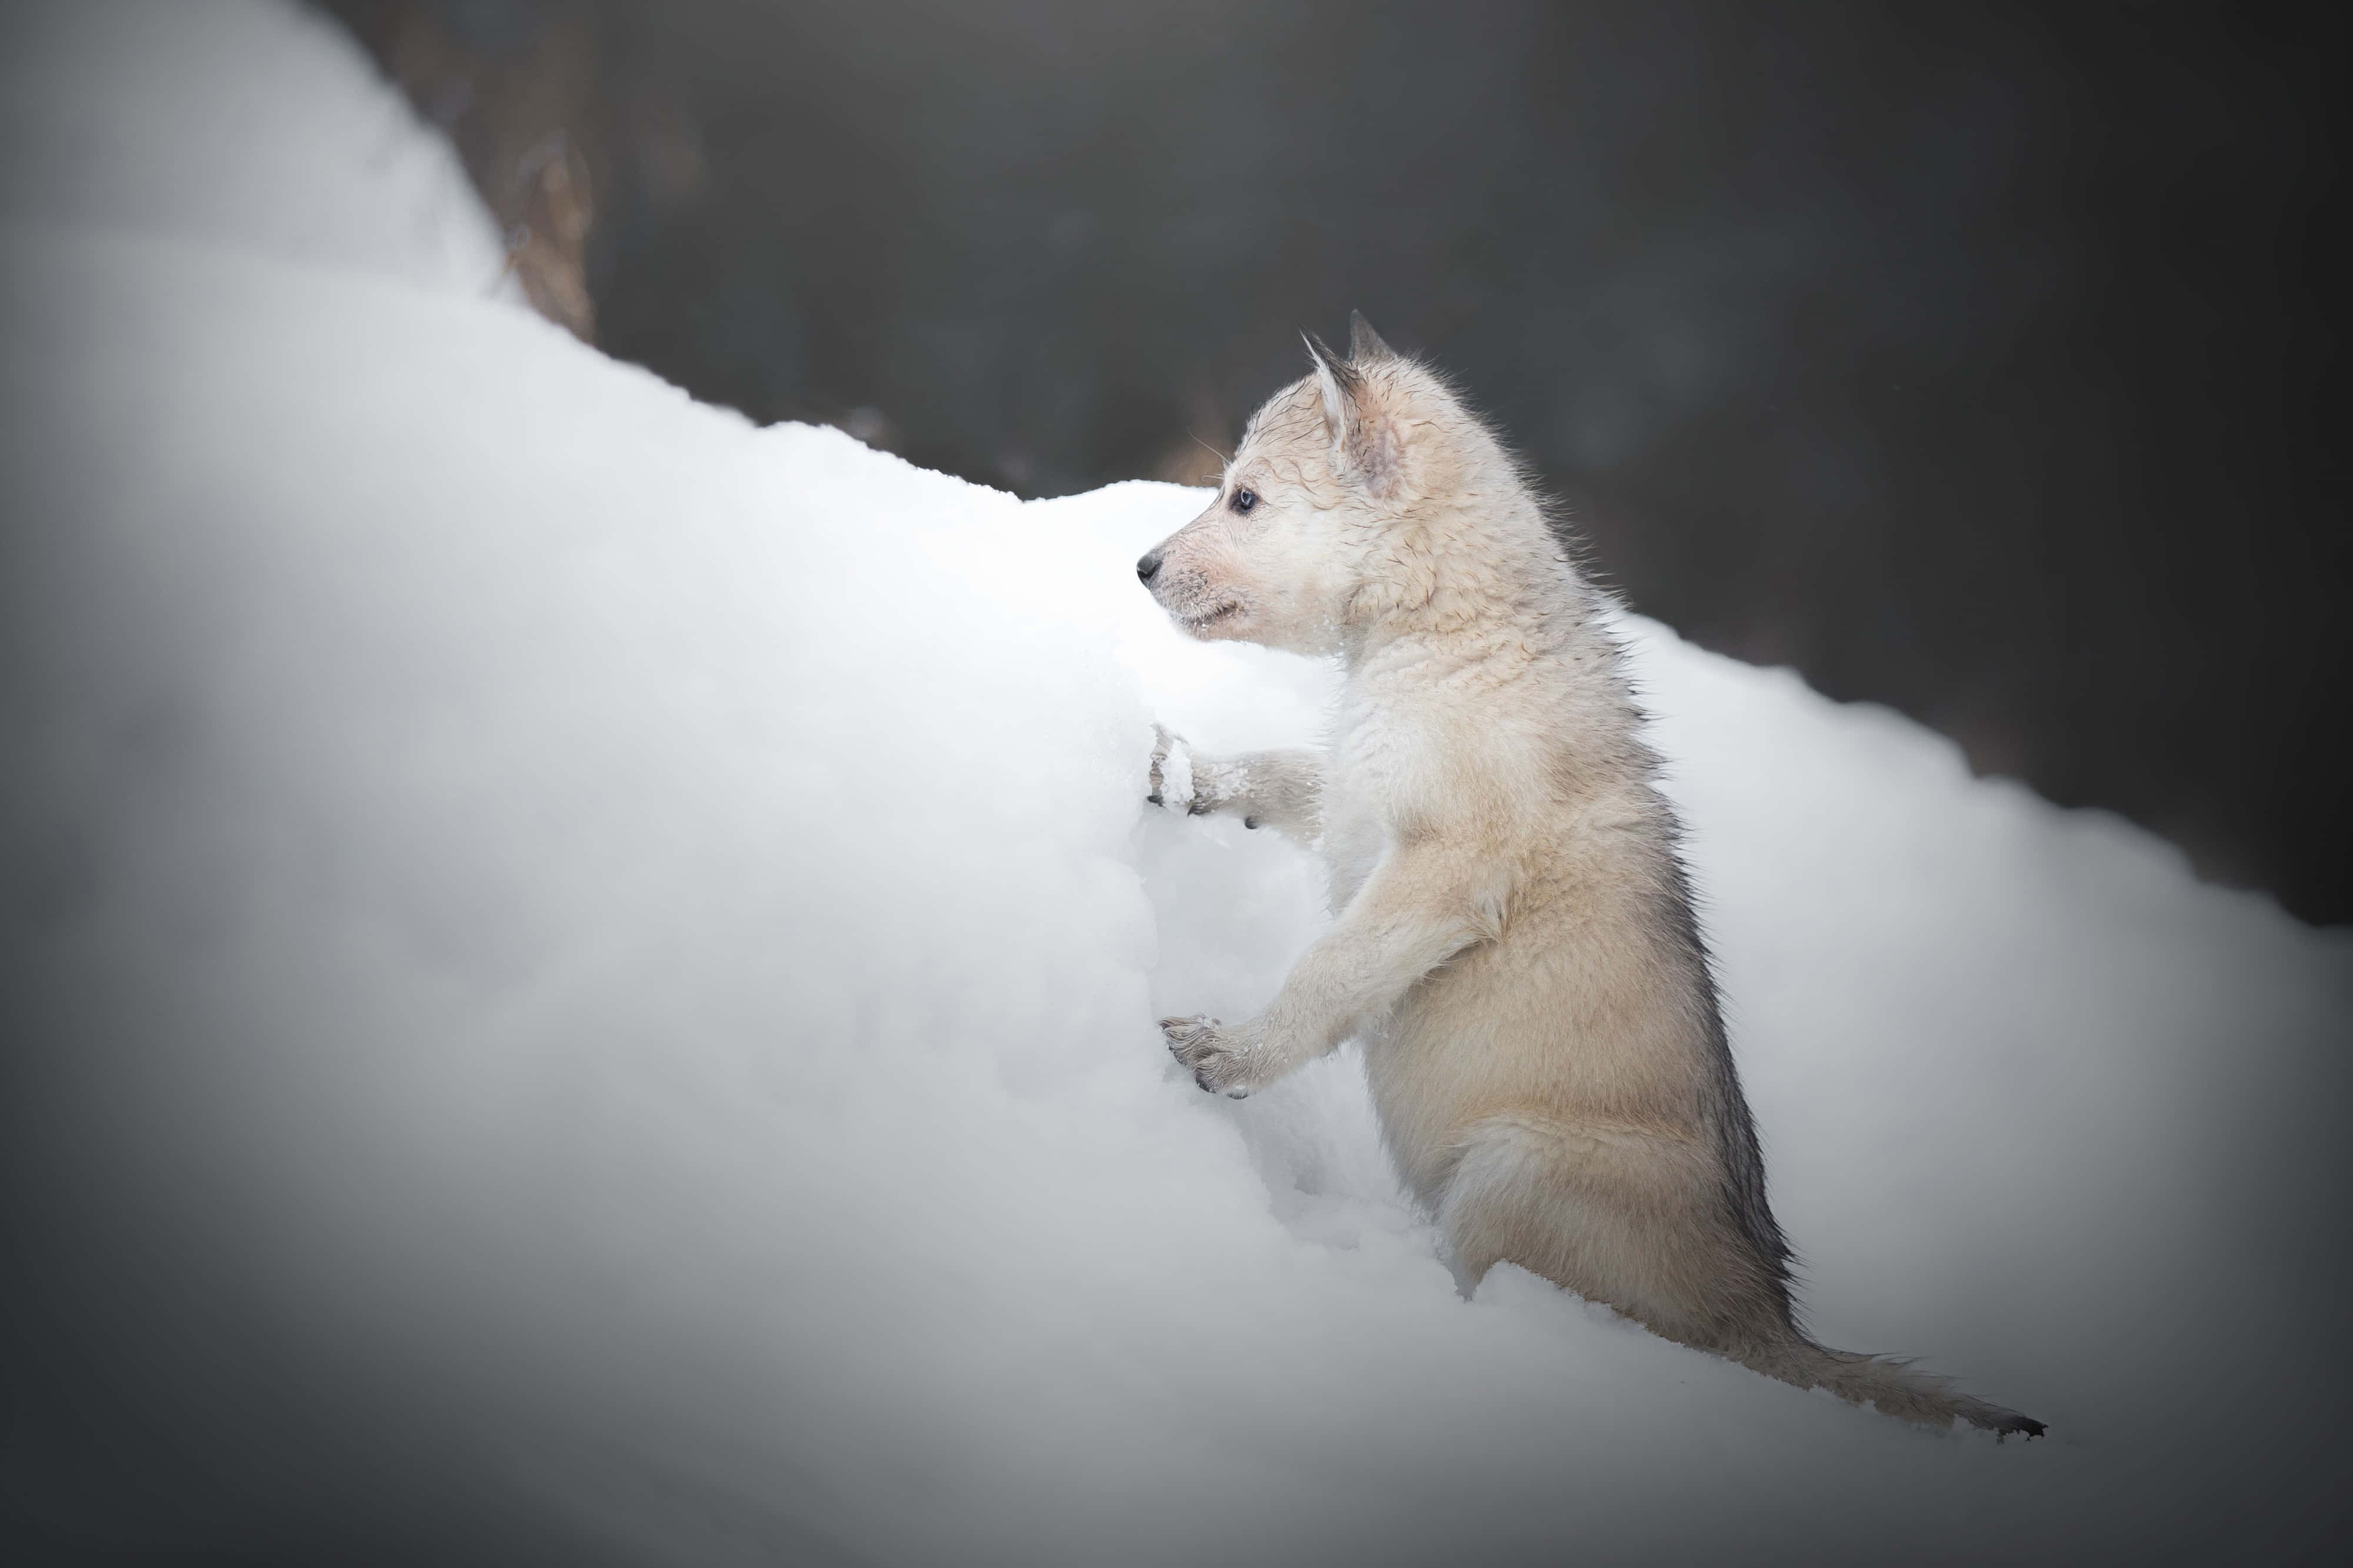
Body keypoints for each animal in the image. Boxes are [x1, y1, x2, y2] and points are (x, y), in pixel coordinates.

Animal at [1137, 314, 2042, 1437]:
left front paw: (1230, 1053)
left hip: (1507, 1176)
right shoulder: (1352, 798)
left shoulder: (1441, 871)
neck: (1448, 629)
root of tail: (1761, 1321)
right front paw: (1185, 773)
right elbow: (1274, 770)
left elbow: (1328, 977)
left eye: (1246, 498)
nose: (1140, 566)